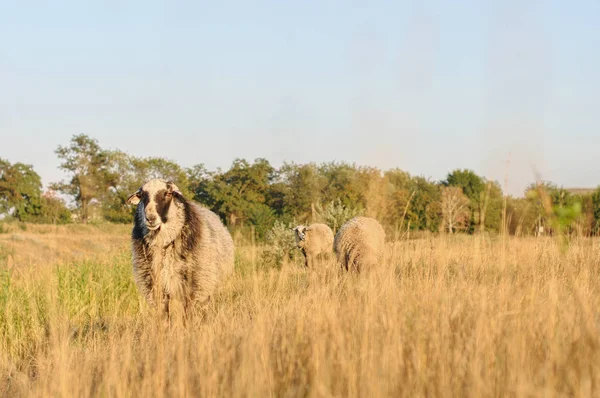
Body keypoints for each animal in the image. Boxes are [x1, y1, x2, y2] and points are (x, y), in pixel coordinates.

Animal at [126, 179, 234, 322]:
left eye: (168, 193)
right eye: (142, 195)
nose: (150, 218)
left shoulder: (192, 287)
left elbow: (188, 316)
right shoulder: (156, 287)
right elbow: (164, 317)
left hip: (208, 285)